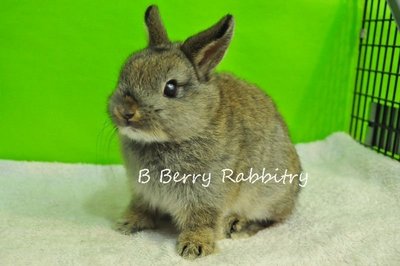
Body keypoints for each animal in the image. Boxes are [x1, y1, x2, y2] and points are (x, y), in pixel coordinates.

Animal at [108, 5, 302, 260]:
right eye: (124, 74)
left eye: (171, 88)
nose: (125, 112)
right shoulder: (142, 192)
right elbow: (141, 208)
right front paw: (127, 223)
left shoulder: (207, 194)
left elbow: (202, 220)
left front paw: (194, 247)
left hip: (267, 194)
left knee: (272, 219)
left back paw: (236, 225)